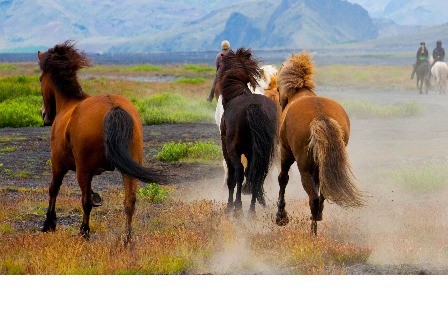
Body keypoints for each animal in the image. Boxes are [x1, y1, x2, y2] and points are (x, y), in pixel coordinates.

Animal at [37, 40, 167, 240]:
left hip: (82, 170)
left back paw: (84, 232)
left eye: (40, 79)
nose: (44, 114)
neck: (69, 103)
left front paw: (49, 224)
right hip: (129, 168)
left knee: (85, 201)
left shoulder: (58, 163)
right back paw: (127, 239)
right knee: (130, 201)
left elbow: (54, 189)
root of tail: (112, 106)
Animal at [219, 47, 278, 214]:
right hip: (261, 152)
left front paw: (229, 205)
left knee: (239, 172)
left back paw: (238, 207)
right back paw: (251, 210)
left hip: (233, 149)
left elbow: (232, 177)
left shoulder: (227, 149)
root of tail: (253, 105)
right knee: (257, 175)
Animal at [274, 51, 366, 236]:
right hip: (322, 164)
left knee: (314, 198)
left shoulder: (286, 152)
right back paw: (317, 218)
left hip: (304, 166)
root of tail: (320, 116)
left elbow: (283, 179)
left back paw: (313, 233)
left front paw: (281, 216)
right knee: (322, 192)